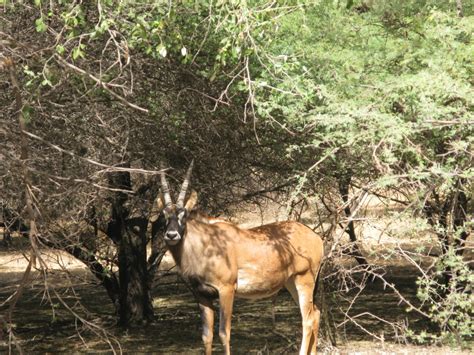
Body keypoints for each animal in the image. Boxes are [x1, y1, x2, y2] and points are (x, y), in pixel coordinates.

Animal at [157, 162, 324, 355]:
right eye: (163, 214)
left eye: (184, 214)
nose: (171, 235)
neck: (204, 244)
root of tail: (316, 237)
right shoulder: (202, 295)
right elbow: (206, 336)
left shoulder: (226, 290)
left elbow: (224, 333)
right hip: (291, 283)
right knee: (315, 313)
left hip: (304, 280)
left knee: (308, 319)